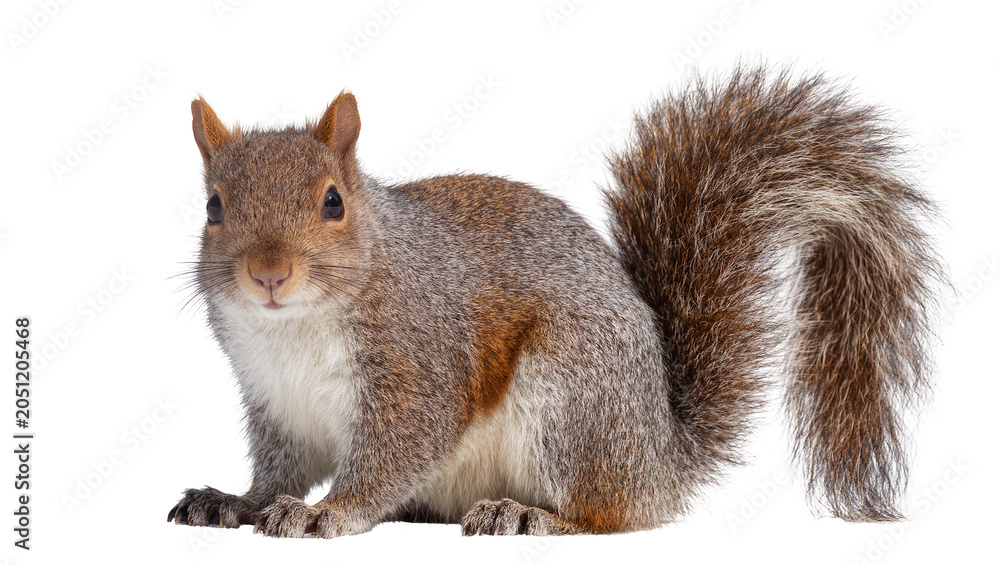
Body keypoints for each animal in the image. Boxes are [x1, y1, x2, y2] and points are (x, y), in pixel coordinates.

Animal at [168, 65, 942, 537]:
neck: (293, 330)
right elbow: (279, 470)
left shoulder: (418, 365)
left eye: (333, 201)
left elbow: (393, 453)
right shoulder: (274, 400)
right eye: (212, 207)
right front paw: (234, 501)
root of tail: (660, 455)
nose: (269, 274)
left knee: (610, 513)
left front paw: (330, 512)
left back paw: (529, 516)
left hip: (570, 398)